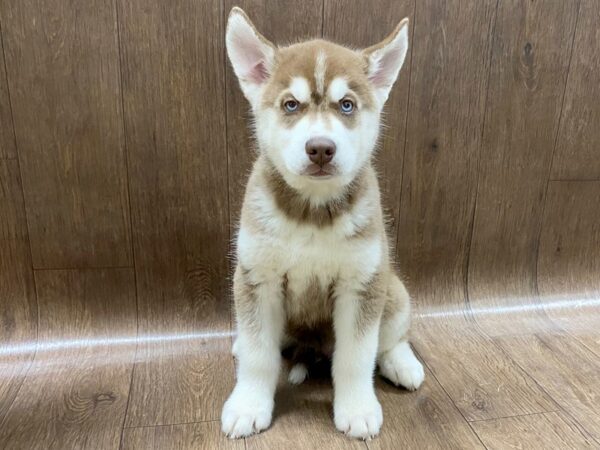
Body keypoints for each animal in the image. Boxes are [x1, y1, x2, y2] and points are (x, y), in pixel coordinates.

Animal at [223, 6, 424, 440]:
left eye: (346, 105)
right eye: (291, 105)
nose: (320, 148)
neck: (311, 214)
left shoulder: (361, 284)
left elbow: (357, 355)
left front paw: (358, 407)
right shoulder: (256, 278)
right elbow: (259, 354)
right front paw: (248, 404)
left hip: (393, 289)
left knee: (391, 338)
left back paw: (402, 363)